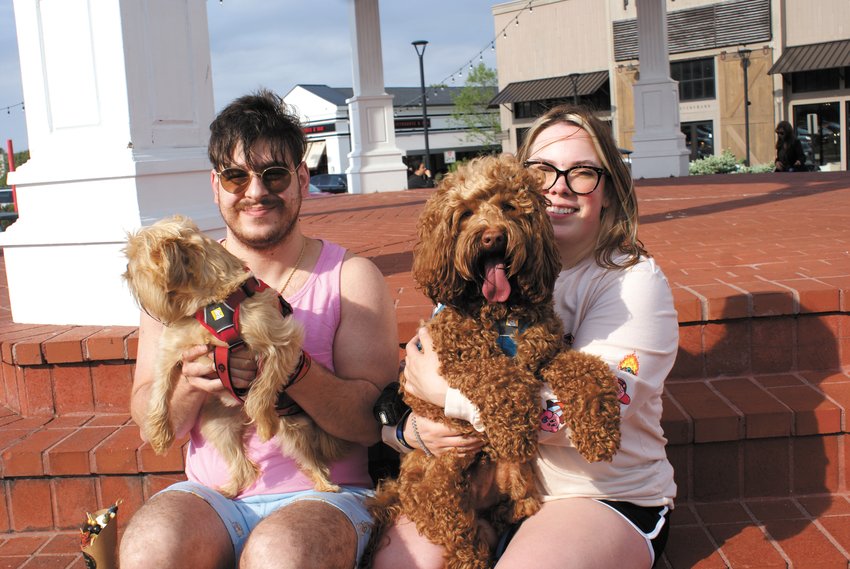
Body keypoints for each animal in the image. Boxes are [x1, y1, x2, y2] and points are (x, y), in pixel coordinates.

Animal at [122, 214, 348, 496]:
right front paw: (160, 435)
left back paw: (325, 484)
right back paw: (228, 490)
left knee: (311, 458)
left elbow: (262, 389)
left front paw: (264, 422)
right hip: (216, 426)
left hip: (291, 427)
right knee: (245, 466)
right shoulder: (170, 354)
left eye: (135, 260)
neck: (210, 302)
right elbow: (159, 395)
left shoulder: (282, 342)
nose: (126, 271)